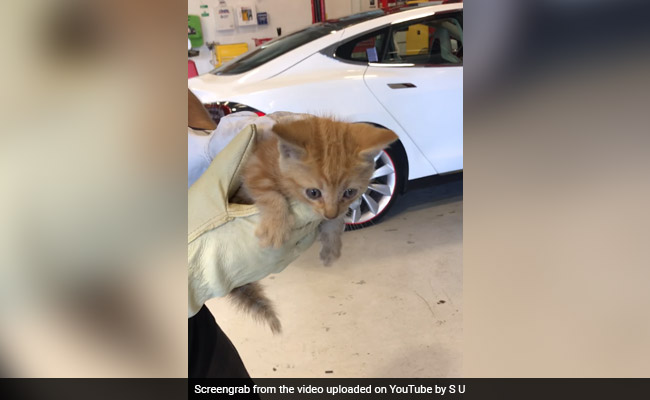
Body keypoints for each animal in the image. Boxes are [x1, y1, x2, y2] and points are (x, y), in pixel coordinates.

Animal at [228, 116, 400, 334]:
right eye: (313, 193)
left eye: (349, 192)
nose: (330, 212)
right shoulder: (254, 169)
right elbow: (270, 194)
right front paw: (275, 226)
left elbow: (334, 223)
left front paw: (331, 246)